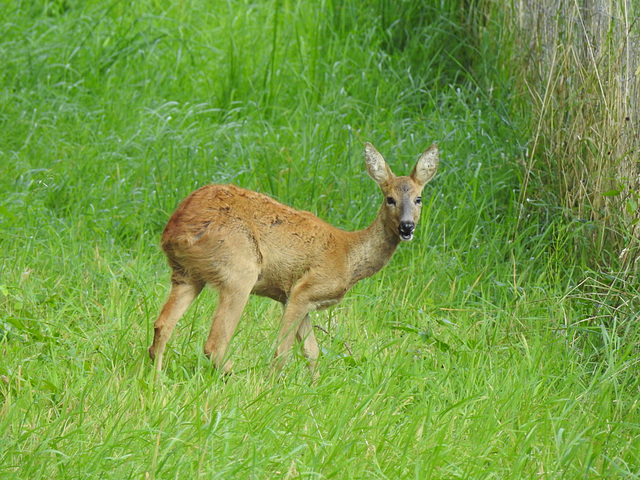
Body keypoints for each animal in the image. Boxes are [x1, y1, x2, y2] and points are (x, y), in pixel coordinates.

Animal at [149, 141, 440, 376]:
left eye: (419, 198)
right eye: (390, 199)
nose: (406, 227)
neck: (350, 257)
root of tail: (175, 229)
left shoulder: (293, 297)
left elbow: (312, 352)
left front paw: (313, 388)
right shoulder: (303, 290)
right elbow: (283, 350)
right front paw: (272, 387)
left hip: (187, 274)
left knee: (162, 326)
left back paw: (158, 379)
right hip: (239, 269)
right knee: (215, 343)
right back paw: (238, 379)